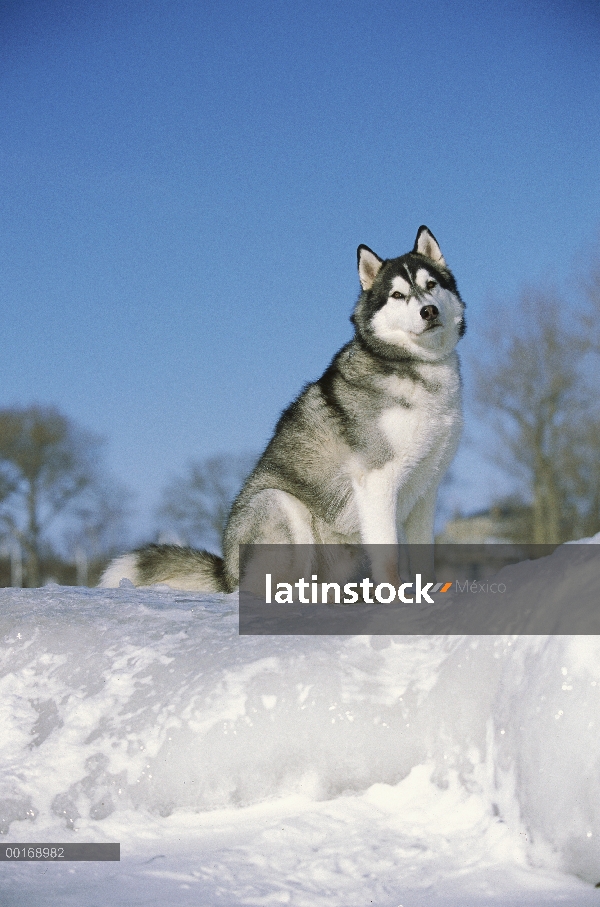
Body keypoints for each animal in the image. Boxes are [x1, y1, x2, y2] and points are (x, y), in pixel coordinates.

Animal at [99, 227, 464, 592]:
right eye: (398, 295)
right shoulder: (377, 481)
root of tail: (227, 571)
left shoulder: (425, 490)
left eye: (431, 285)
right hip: (281, 504)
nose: (428, 311)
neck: (418, 367)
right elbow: (387, 557)